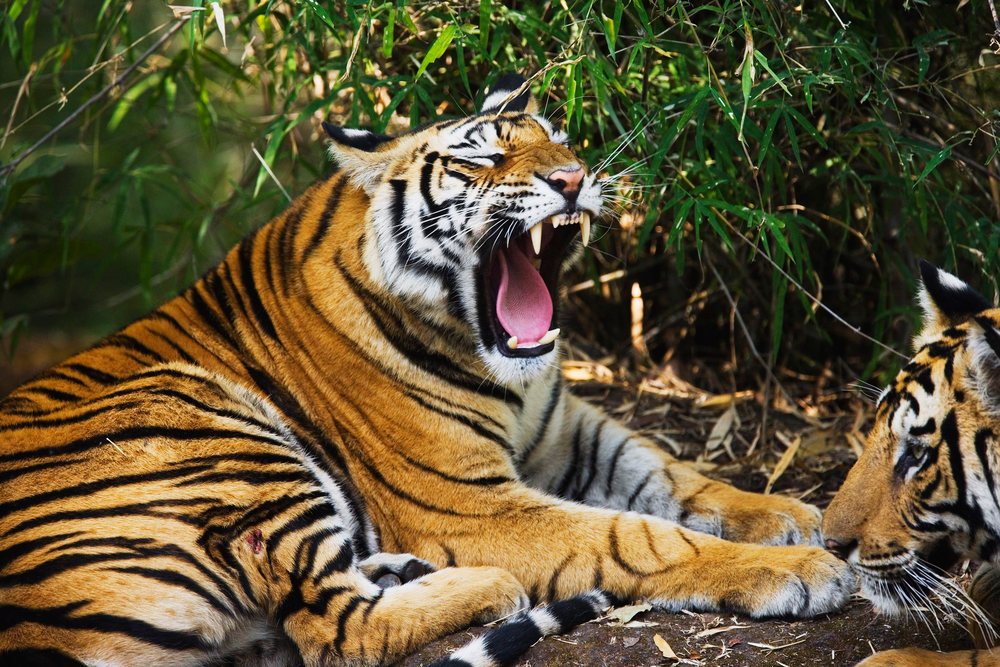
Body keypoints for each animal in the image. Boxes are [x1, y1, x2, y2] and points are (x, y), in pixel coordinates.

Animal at [0, 72, 852, 667]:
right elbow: (638, 535)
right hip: (205, 428)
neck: (497, 359)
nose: (574, 180)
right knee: (335, 629)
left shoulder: (567, 430)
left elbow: (668, 472)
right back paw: (486, 585)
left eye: (563, 142)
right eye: (484, 156)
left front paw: (785, 510)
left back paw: (402, 567)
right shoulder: (469, 504)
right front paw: (799, 566)